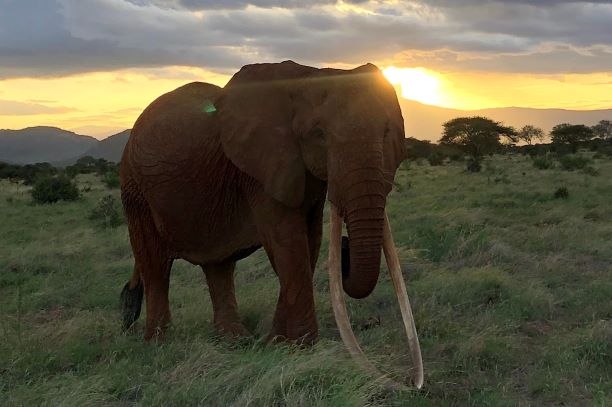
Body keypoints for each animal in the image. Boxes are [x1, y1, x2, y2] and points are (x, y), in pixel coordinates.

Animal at [120, 60, 426, 388]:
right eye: (318, 134)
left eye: (387, 131)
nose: (345, 248)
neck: (308, 75)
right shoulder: (260, 170)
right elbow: (286, 242)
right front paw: (303, 348)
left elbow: (309, 241)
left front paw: (277, 344)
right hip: (135, 190)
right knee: (155, 264)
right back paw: (159, 344)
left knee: (218, 266)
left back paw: (234, 340)